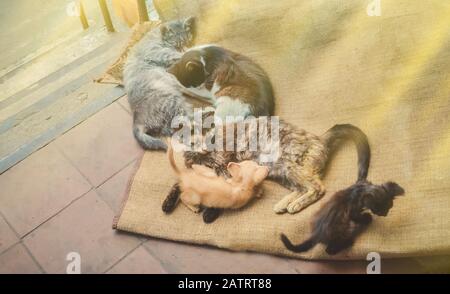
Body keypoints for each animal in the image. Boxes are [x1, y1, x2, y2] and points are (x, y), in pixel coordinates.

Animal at [124, 16, 212, 149]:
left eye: (188, 41)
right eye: (177, 44)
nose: (186, 47)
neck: (157, 36)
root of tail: (137, 119)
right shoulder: (159, 52)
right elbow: (178, 55)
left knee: (178, 128)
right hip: (171, 100)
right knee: (189, 119)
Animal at [163, 116, 370, 224]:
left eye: (210, 137)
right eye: (192, 138)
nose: (206, 146)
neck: (202, 157)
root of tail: (320, 138)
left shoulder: (223, 169)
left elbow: (221, 191)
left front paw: (209, 213)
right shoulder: (193, 172)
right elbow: (177, 184)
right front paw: (167, 203)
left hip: (288, 164)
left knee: (317, 188)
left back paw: (294, 205)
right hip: (280, 171)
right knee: (302, 187)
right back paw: (284, 204)